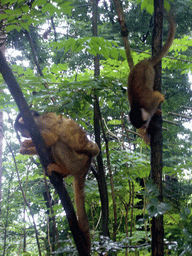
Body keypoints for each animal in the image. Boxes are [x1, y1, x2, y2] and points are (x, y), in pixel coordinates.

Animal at [14, 111, 100, 255]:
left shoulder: (40, 126)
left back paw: (62, 170)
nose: (23, 135)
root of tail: (85, 168)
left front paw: (27, 145)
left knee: (58, 143)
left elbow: (51, 138)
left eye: (22, 130)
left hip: (75, 162)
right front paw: (25, 148)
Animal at [127, 12, 176, 142]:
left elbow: (157, 96)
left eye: (144, 124)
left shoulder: (150, 103)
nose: (144, 127)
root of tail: (146, 61)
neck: (139, 106)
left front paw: (158, 105)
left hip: (149, 71)